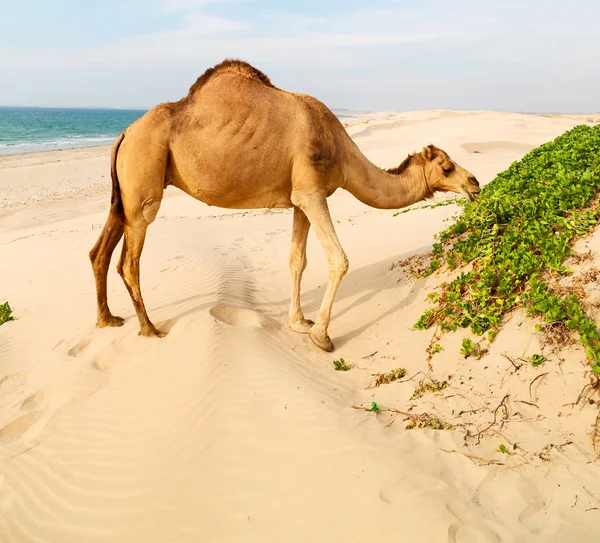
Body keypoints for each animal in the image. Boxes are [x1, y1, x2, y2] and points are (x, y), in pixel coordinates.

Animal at [89, 59, 480, 352]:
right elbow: (339, 259)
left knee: (100, 251)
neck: (341, 150)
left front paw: (299, 323)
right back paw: (149, 328)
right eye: (447, 167)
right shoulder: (311, 191)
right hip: (144, 184)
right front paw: (321, 336)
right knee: (129, 262)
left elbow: (297, 260)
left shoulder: (299, 198)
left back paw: (107, 319)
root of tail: (125, 133)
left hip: (123, 193)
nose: (475, 183)